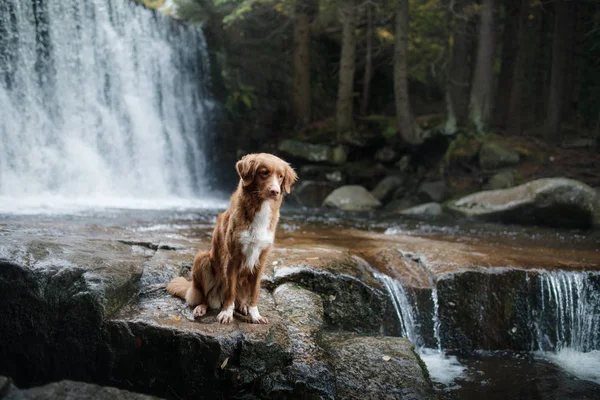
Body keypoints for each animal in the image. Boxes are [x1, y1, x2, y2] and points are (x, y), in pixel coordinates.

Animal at [166, 152, 298, 324]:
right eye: (264, 173)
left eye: (281, 176)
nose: (275, 191)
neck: (259, 208)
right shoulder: (232, 259)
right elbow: (230, 291)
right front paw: (226, 313)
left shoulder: (260, 261)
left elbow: (254, 293)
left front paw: (255, 315)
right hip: (203, 259)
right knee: (206, 297)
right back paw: (202, 307)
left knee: (240, 298)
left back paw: (242, 306)